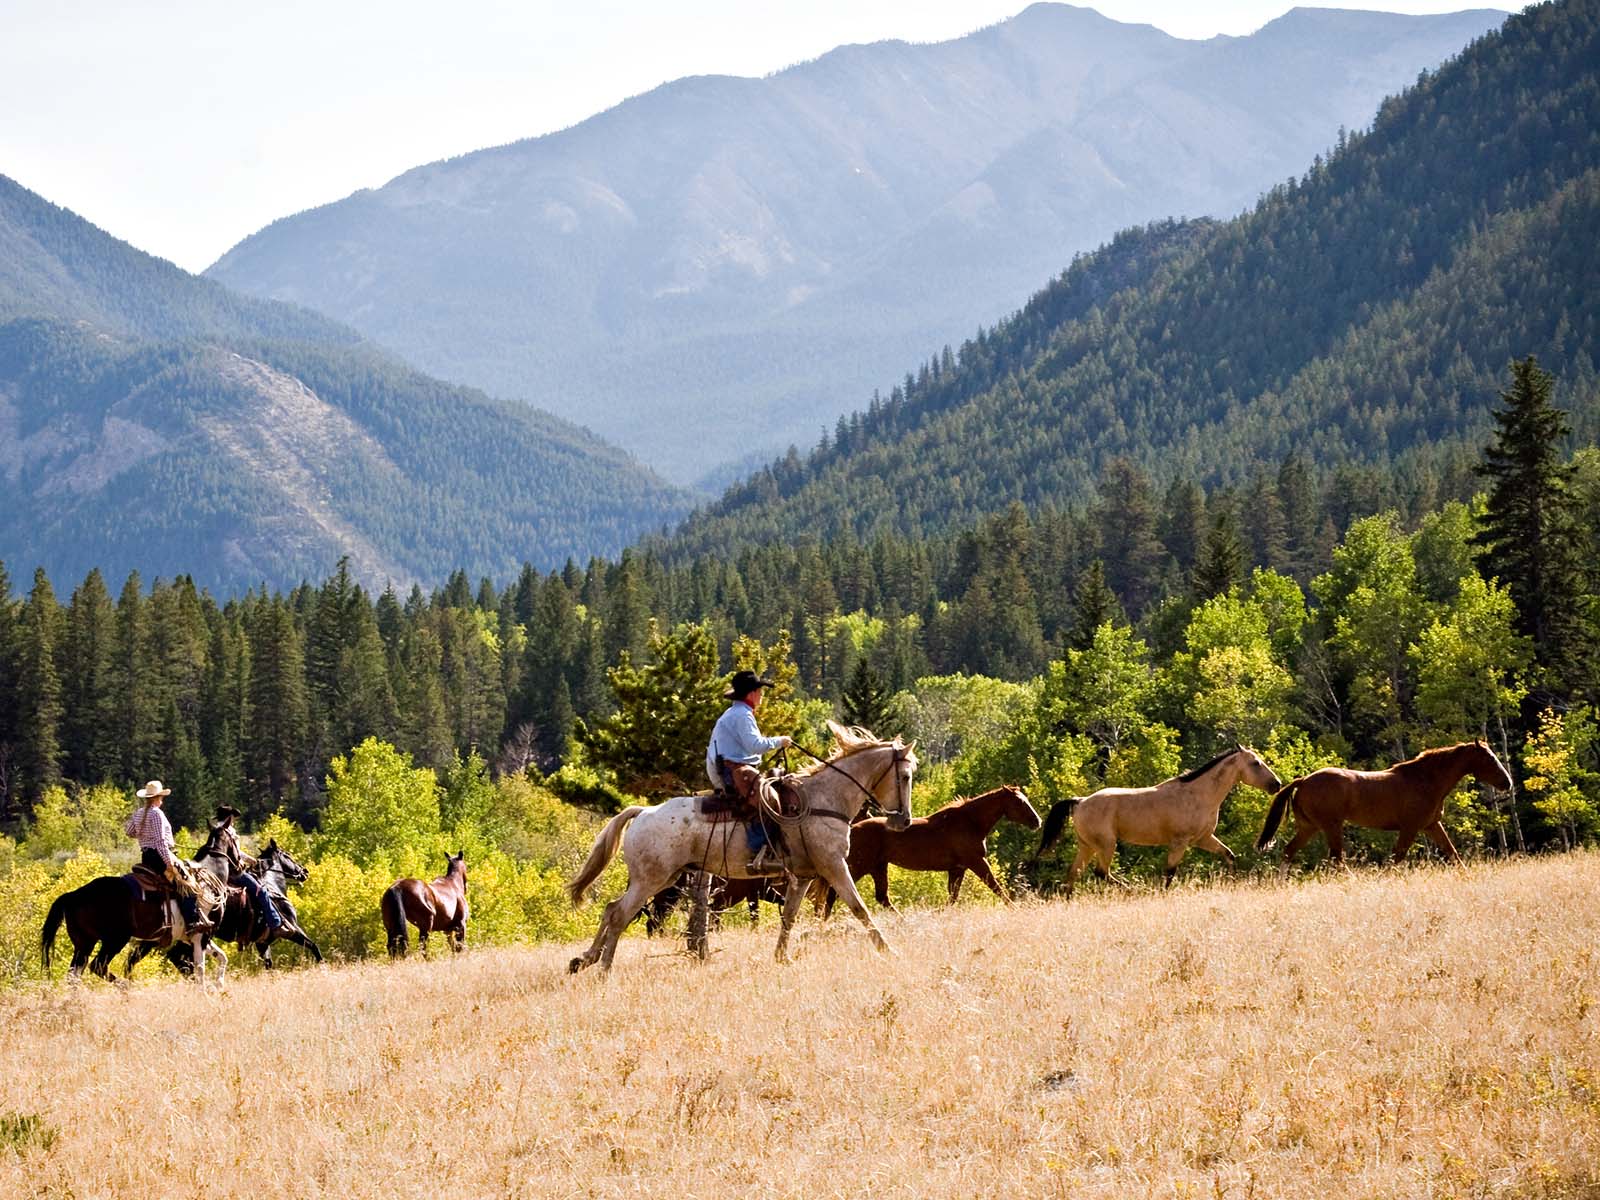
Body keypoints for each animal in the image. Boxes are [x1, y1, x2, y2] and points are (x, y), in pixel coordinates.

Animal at [569, 720, 921, 972]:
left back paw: (584, 960)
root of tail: (643, 811)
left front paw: (782, 957)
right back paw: (603, 968)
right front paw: (889, 950)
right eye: (905, 776)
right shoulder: (833, 866)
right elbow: (859, 907)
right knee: (619, 914)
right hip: (650, 880)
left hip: (661, 879)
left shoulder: (804, 875)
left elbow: (790, 915)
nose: (903, 820)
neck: (823, 800)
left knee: (611, 908)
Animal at [819, 784, 1043, 915]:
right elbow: (996, 887)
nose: (1037, 821)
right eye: (1019, 801)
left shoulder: (957, 868)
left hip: (878, 867)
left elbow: (953, 897)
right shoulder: (976, 862)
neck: (971, 822)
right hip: (860, 867)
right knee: (834, 894)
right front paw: (1015, 908)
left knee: (882, 898)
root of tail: (853, 829)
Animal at [1030, 748, 1280, 896]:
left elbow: (1229, 855)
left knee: (1074, 873)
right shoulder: (1180, 842)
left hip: (1087, 846)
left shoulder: (1203, 839)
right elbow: (1169, 872)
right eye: (1256, 763)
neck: (1198, 795)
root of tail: (1080, 802)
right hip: (1106, 845)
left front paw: (1232, 881)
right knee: (1101, 873)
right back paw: (1130, 889)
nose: (1276, 784)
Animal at [1254, 739, 1504, 870]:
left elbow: (1452, 853)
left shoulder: (1432, 826)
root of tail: (1304, 780)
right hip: (1331, 826)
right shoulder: (1410, 828)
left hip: (1310, 827)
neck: (1426, 780)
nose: (1507, 782)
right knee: (1337, 858)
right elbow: (1397, 858)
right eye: (1490, 758)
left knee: (1290, 851)